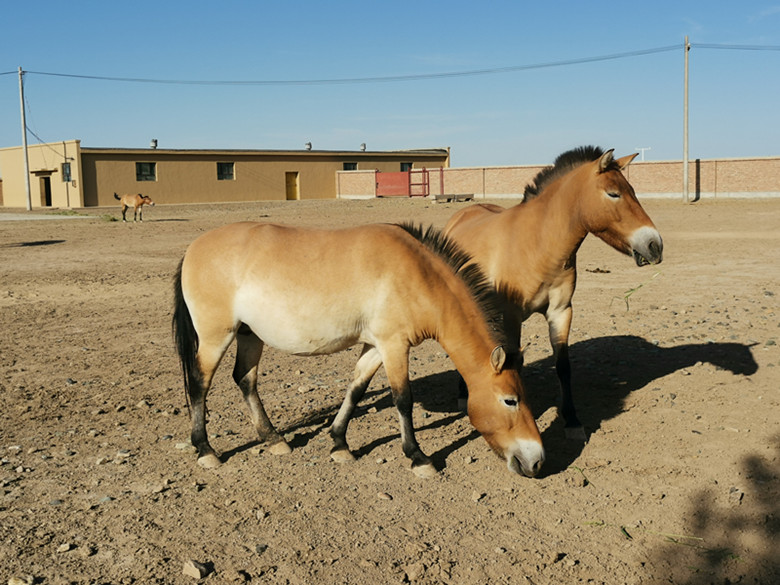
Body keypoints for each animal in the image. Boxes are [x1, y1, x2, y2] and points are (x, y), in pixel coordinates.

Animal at [171, 221, 544, 476]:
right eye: (510, 401)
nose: (537, 461)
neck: (417, 274)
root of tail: (192, 249)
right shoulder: (394, 345)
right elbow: (403, 400)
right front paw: (418, 457)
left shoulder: (376, 345)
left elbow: (356, 389)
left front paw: (339, 443)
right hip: (216, 336)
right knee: (199, 384)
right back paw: (205, 450)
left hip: (249, 334)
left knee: (245, 380)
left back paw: (274, 439)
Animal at [444, 146, 664, 438]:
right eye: (613, 193)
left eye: (633, 191)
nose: (655, 245)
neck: (538, 244)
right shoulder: (512, 317)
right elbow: (515, 364)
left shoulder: (560, 312)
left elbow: (563, 366)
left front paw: (571, 420)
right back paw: (460, 393)